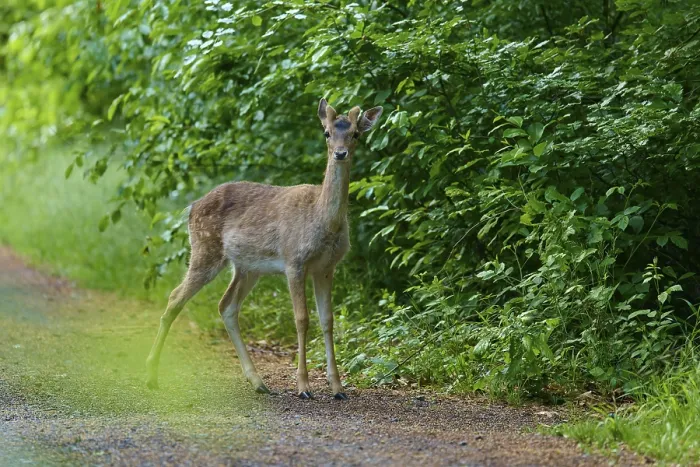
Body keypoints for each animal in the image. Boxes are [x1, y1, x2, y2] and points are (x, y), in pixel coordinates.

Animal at [145, 98, 383, 400]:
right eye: (327, 133)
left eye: (355, 134)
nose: (340, 154)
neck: (323, 221)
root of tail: (191, 207)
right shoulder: (294, 260)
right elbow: (302, 319)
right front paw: (304, 387)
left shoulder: (327, 267)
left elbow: (327, 320)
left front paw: (338, 388)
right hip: (205, 249)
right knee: (176, 297)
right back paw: (151, 374)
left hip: (247, 267)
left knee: (226, 305)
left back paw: (258, 382)